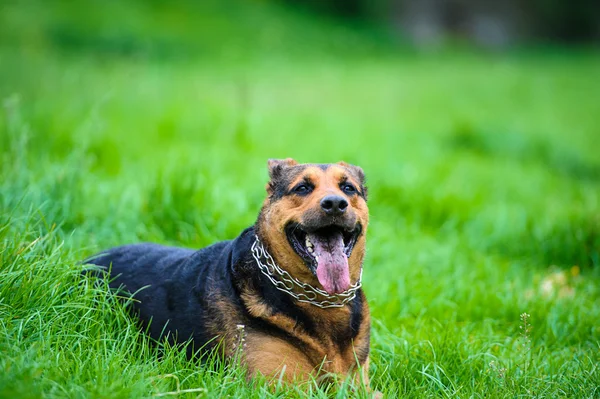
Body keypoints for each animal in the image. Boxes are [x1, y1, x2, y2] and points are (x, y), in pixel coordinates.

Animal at [87, 159, 372, 388]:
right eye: (302, 188)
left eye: (348, 188)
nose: (335, 204)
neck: (321, 298)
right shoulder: (279, 386)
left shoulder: (360, 385)